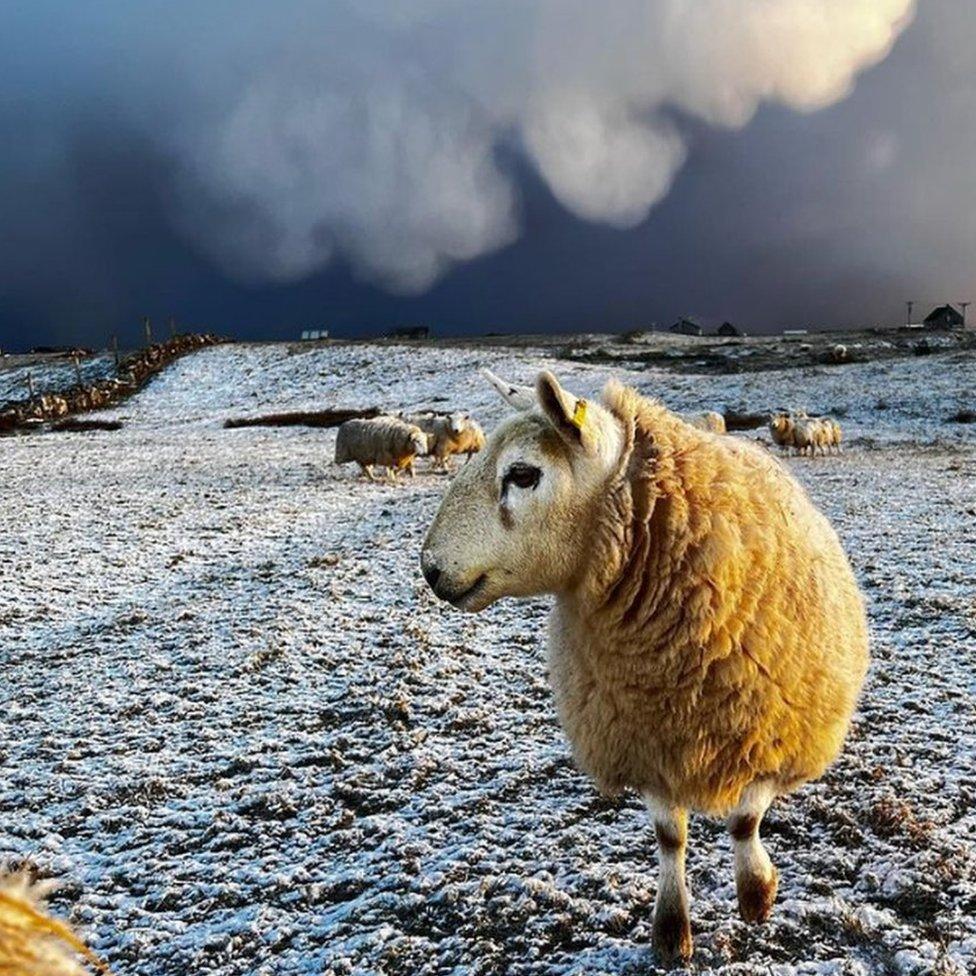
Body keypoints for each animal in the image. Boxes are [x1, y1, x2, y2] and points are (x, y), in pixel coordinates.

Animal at [420, 370, 868, 964]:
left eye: (523, 473)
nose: (429, 568)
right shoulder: (644, 734)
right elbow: (669, 837)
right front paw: (672, 930)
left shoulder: (773, 727)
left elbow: (747, 817)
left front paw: (756, 894)